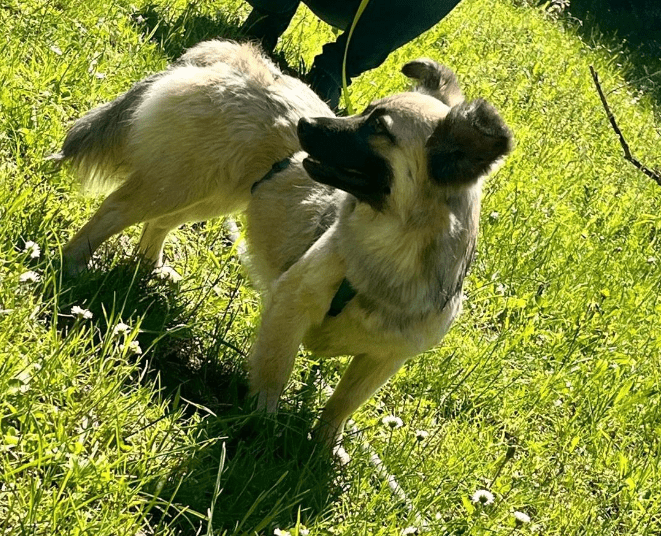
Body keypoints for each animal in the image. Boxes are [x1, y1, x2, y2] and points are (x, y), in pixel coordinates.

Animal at [52, 38, 516, 448]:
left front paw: (323, 450)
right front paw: (263, 428)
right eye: (366, 112)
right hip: (181, 182)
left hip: (215, 193)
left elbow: (342, 405)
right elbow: (275, 374)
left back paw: (150, 267)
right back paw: (72, 268)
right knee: (112, 212)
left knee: (158, 223)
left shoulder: (381, 360)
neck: (386, 256)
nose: (304, 125)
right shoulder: (290, 307)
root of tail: (238, 58)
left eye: (378, 128)